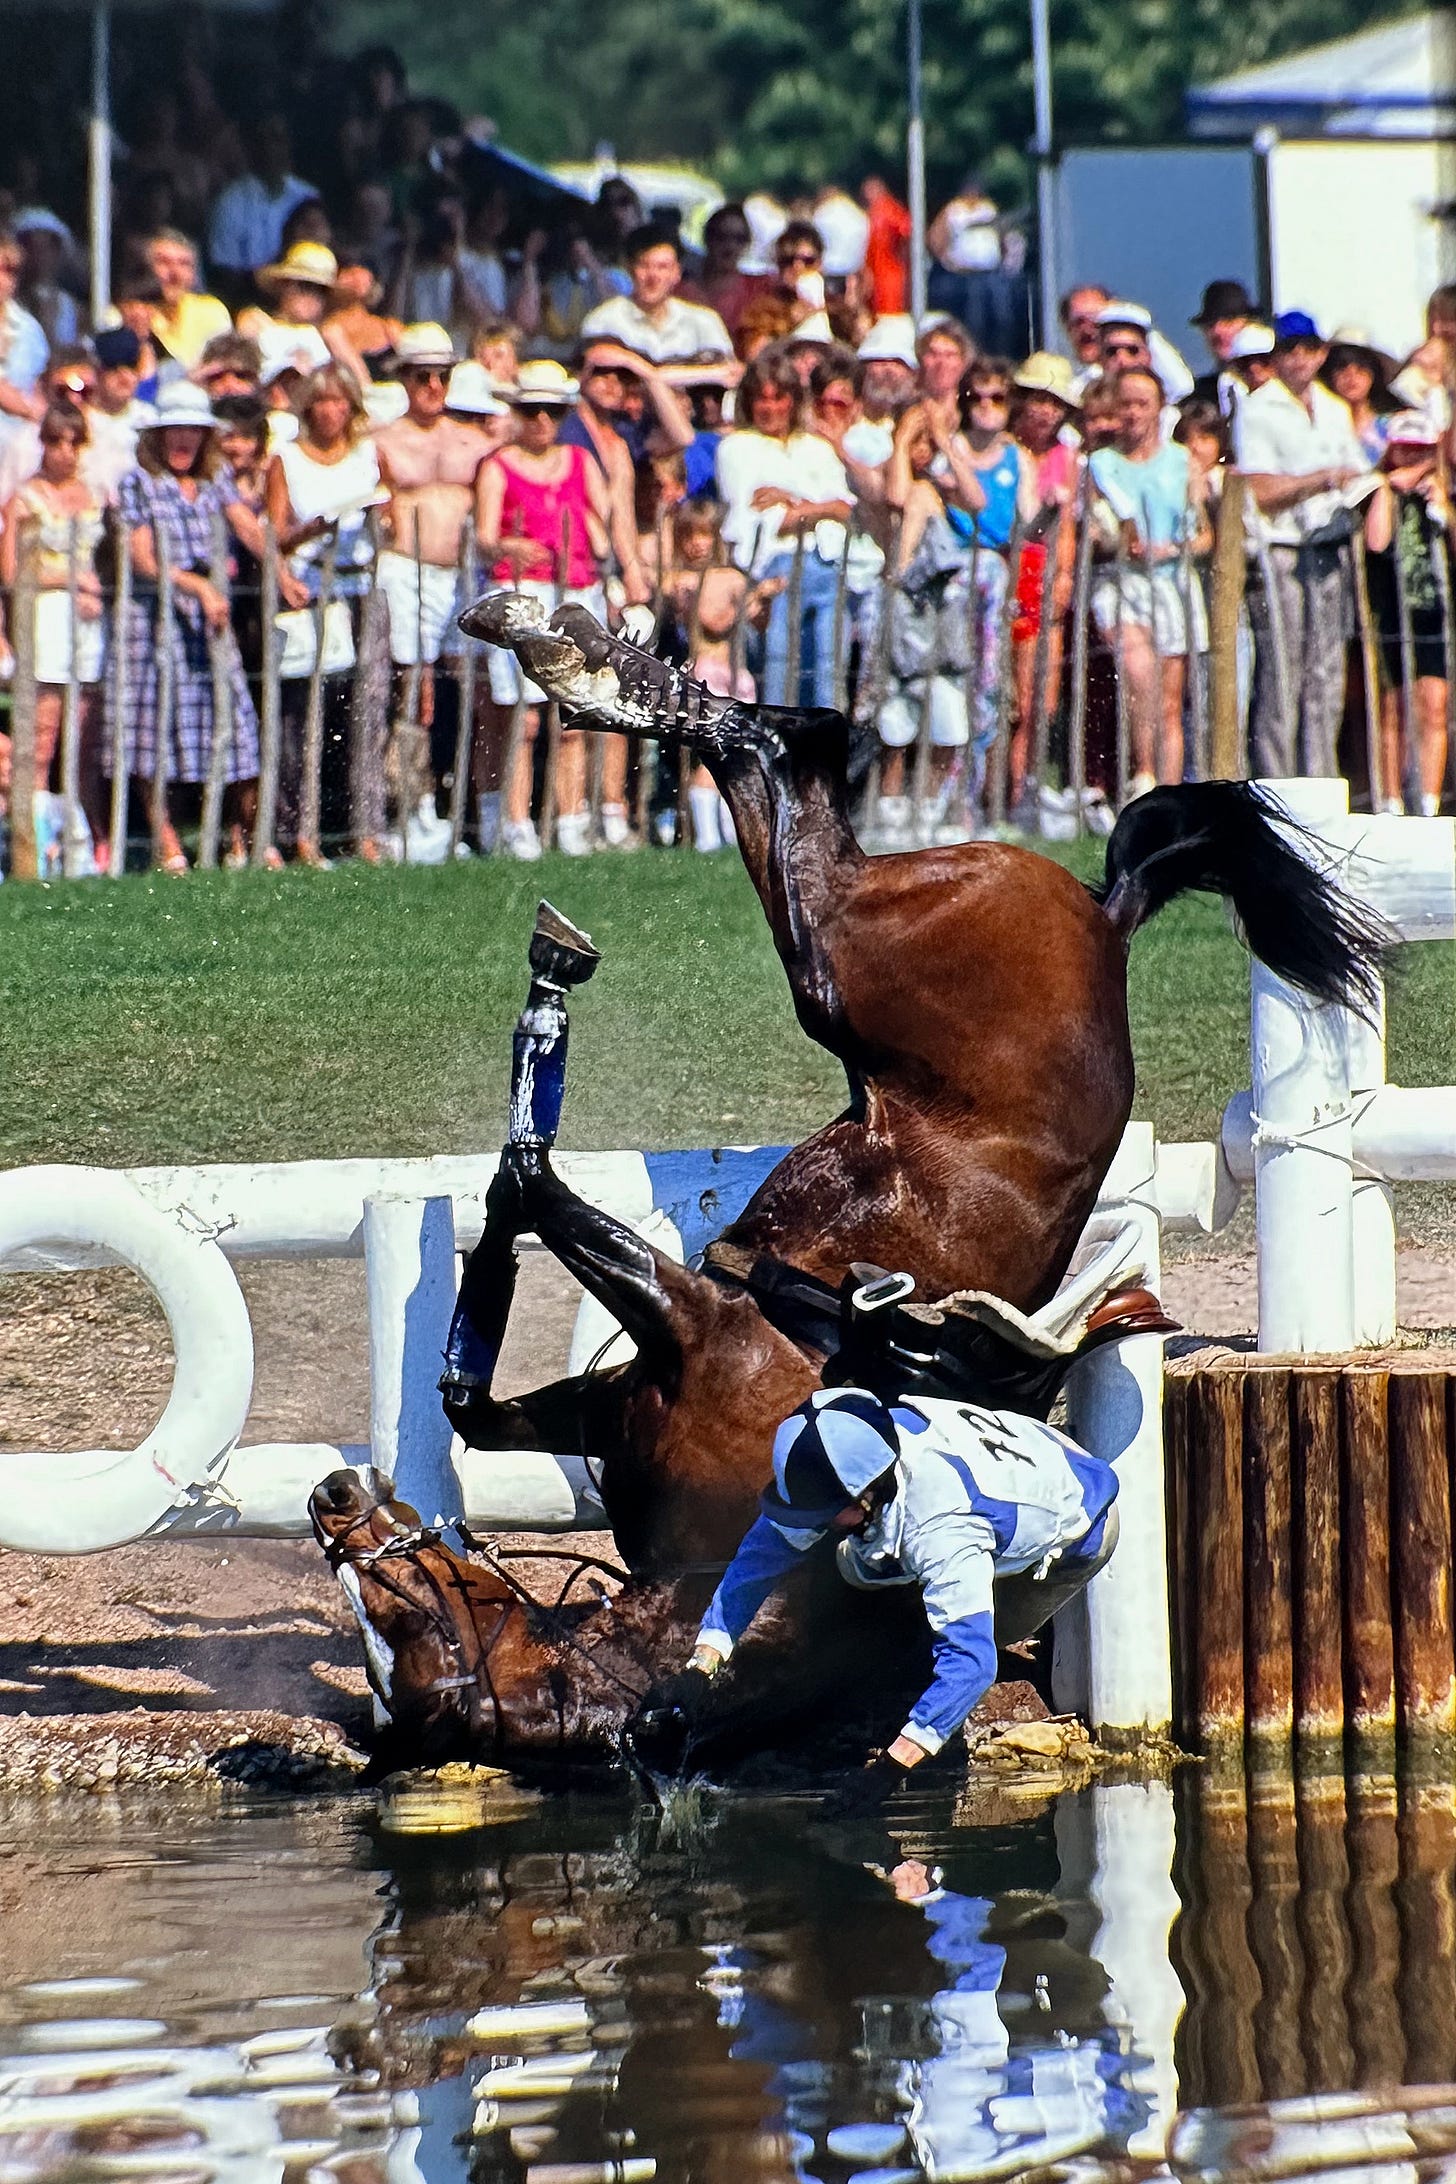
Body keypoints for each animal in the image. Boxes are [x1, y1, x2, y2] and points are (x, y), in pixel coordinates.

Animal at [314, 598, 1388, 1773]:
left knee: (789, 754)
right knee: (794, 756)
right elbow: (471, 1396)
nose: (336, 1501)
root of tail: (1108, 914)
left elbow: (537, 1191)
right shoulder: (608, 1402)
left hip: (845, 956)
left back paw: (574, 654)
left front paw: (526, 1119)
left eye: (399, 1618)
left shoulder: (697, 1327)